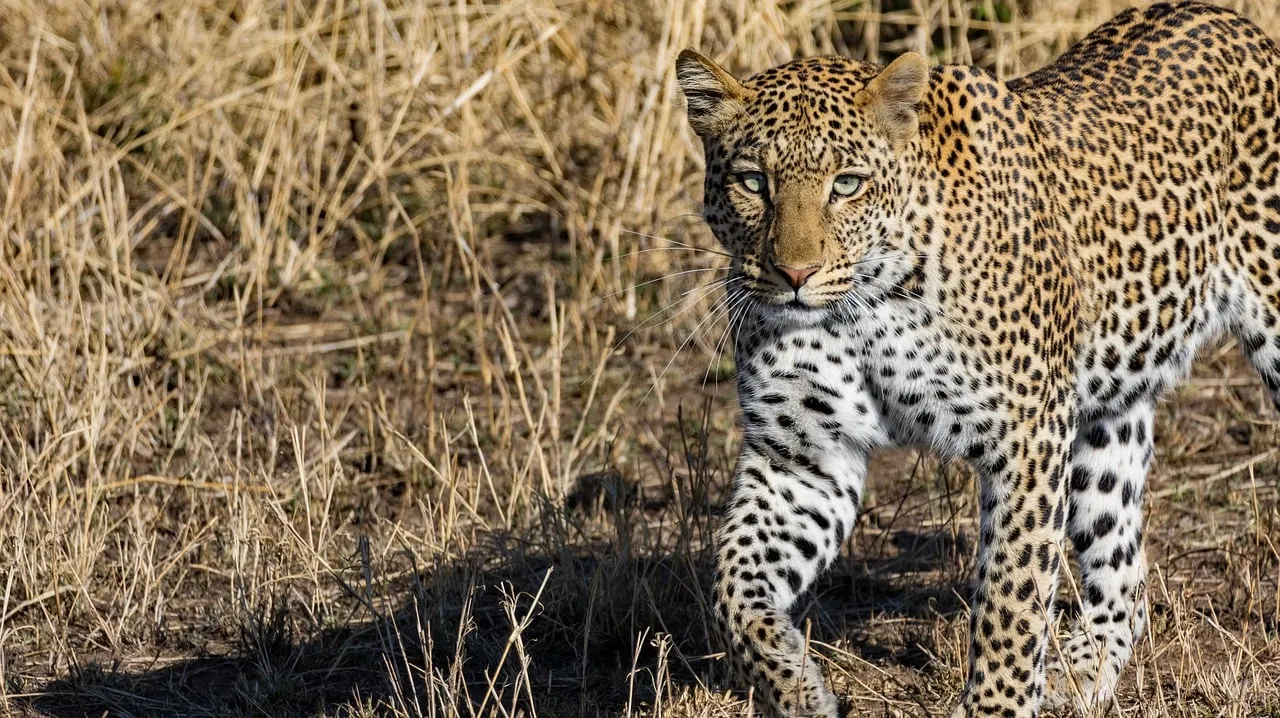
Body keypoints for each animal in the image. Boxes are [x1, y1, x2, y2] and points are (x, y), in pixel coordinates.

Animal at [674, 2, 1280, 716]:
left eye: (846, 185)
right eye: (752, 182)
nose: (794, 274)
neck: (865, 308)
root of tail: (1238, 23)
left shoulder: (1028, 437)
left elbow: (1011, 599)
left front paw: (996, 703)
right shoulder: (801, 459)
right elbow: (732, 587)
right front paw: (794, 686)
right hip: (1107, 414)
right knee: (1123, 575)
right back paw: (1083, 674)